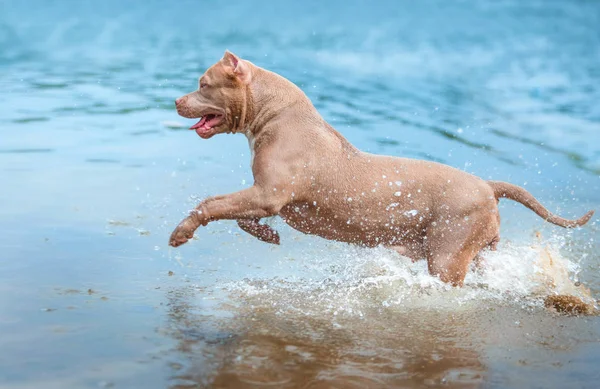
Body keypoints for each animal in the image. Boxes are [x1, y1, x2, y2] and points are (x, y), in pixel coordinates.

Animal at [169, 50, 596, 284]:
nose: (176, 100)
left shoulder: (267, 194)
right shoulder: (264, 196)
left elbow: (211, 204)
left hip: (447, 254)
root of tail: (488, 185)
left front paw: (181, 232)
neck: (276, 113)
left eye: (203, 84)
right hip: (475, 249)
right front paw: (266, 235)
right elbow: (238, 215)